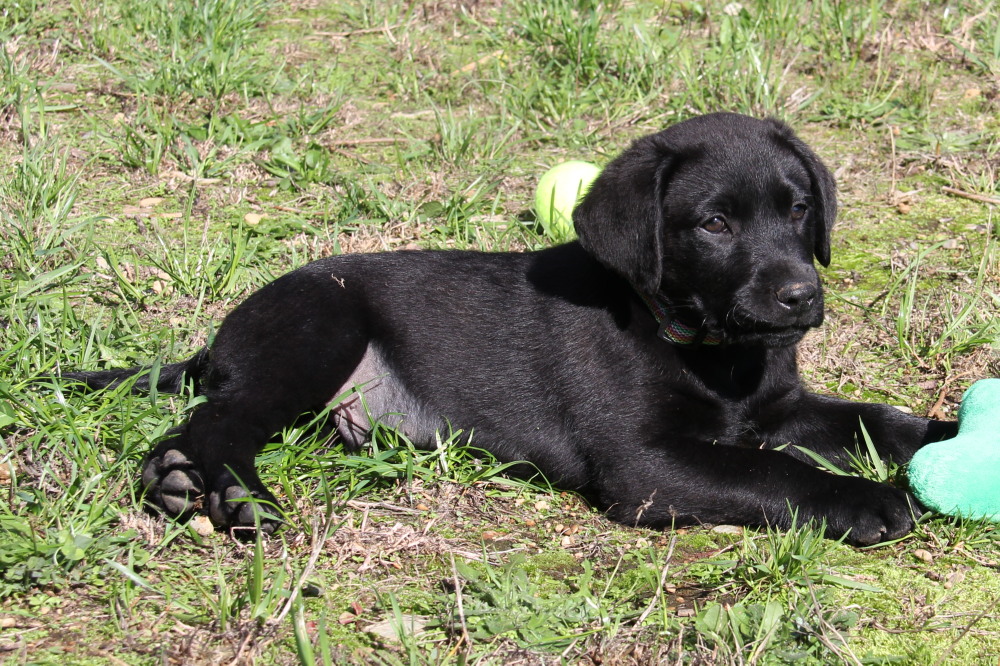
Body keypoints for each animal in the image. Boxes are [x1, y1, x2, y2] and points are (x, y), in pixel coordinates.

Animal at [66, 110, 956, 544]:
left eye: (798, 209)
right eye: (713, 225)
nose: (801, 297)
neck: (712, 354)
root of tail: (221, 337)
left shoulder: (780, 409)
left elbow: (875, 419)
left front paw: (948, 433)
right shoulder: (644, 465)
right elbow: (771, 472)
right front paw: (864, 500)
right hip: (316, 330)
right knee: (216, 421)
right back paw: (219, 491)